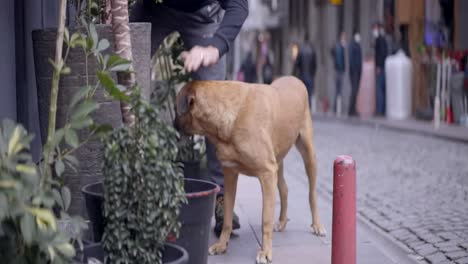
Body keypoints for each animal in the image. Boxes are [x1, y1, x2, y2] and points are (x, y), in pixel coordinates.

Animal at [175, 75, 326, 262]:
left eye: (176, 109)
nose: (173, 124)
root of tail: (294, 78)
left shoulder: (267, 173)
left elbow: (265, 219)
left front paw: (265, 252)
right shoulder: (230, 174)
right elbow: (227, 216)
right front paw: (221, 245)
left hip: (308, 152)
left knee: (312, 193)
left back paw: (317, 225)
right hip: (278, 159)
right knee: (284, 189)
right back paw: (282, 221)